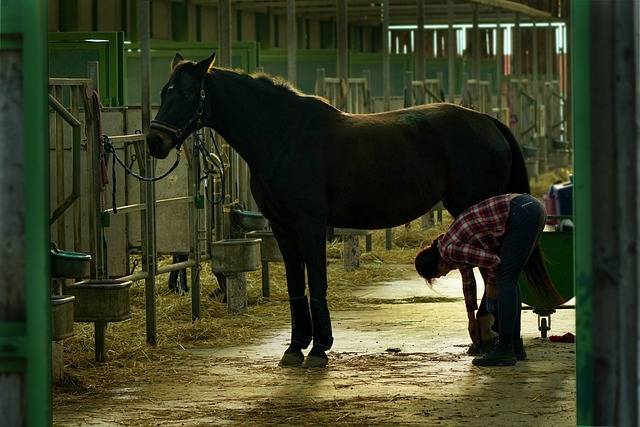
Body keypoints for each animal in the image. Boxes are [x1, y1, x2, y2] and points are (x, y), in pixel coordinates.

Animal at [148, 52, 552, 368]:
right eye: (164, 91)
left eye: (187, 93)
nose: (155, 141)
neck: (284, 136)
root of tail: (488, 121)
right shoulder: (281, 227)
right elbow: (296, 284)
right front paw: (295, 348)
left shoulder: (310, 224)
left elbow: (317, 281)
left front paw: (318, 349)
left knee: (496, 272)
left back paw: (498, 344)